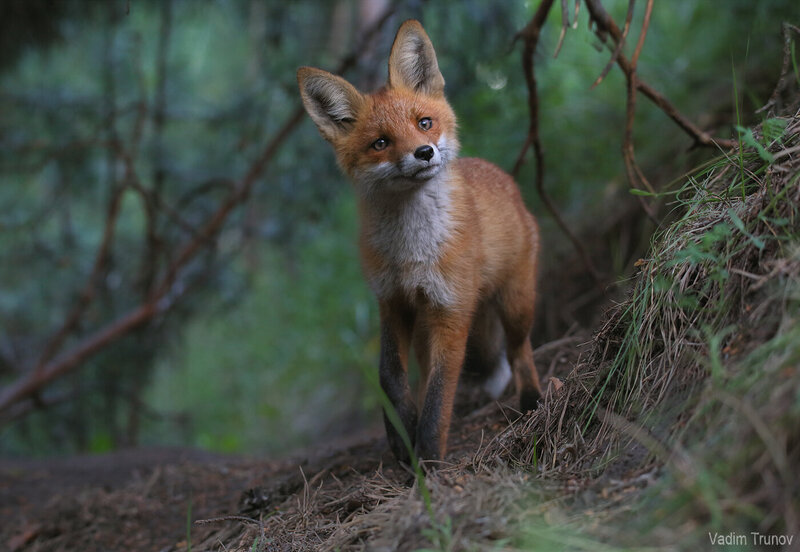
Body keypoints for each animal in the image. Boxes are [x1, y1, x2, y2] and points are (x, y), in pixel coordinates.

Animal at [297, 20, 542, 463]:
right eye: (380, 143)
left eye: (423, 123)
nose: (424, 152)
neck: (412, 253)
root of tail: (505, 178)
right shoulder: (393, 301)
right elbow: (391, 376)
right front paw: (400, 434)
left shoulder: (451, 309)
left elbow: (441, 392)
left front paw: (427, 457)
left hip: (516, 304)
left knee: (519, 351)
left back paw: (532, 398)